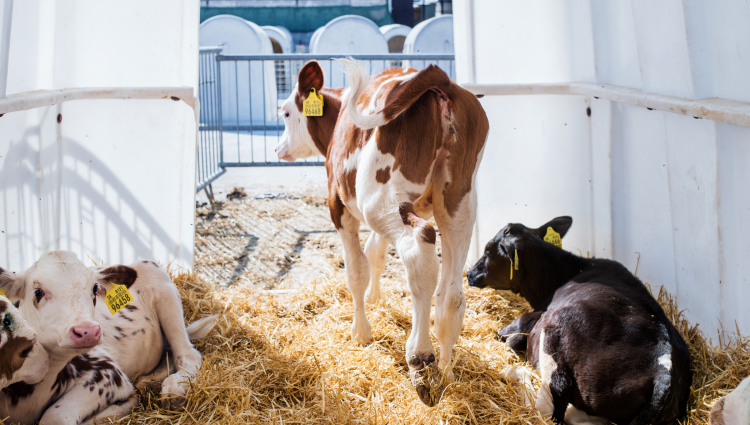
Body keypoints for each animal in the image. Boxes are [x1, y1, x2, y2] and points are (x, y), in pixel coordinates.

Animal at [0, 251, 216, 424]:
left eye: (95, 289)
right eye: (38, 291)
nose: (87, 331)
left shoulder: (108, 373)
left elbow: (55, 416)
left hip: (164, 289)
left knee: (188, 354)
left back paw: (173, 390)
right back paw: (150, 381)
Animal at [273, 59, 489, 405]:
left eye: (286, 113)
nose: (278, 148)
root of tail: (441, 80)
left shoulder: (338, 205)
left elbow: (356, 270)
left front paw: (360, 332)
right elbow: (375, 254)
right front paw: (375, 300)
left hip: (380, 199)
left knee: (418, 247)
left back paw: (420, 357)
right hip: (458, 203)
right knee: (451, 292)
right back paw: (446, 372)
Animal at [466, 217, 692, 424]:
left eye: (488, 250)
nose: (469, 273)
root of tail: (664, 369)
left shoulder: (528, 321)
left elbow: (510, 337)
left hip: (557, 338)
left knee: (547, 409)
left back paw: (514, 372)